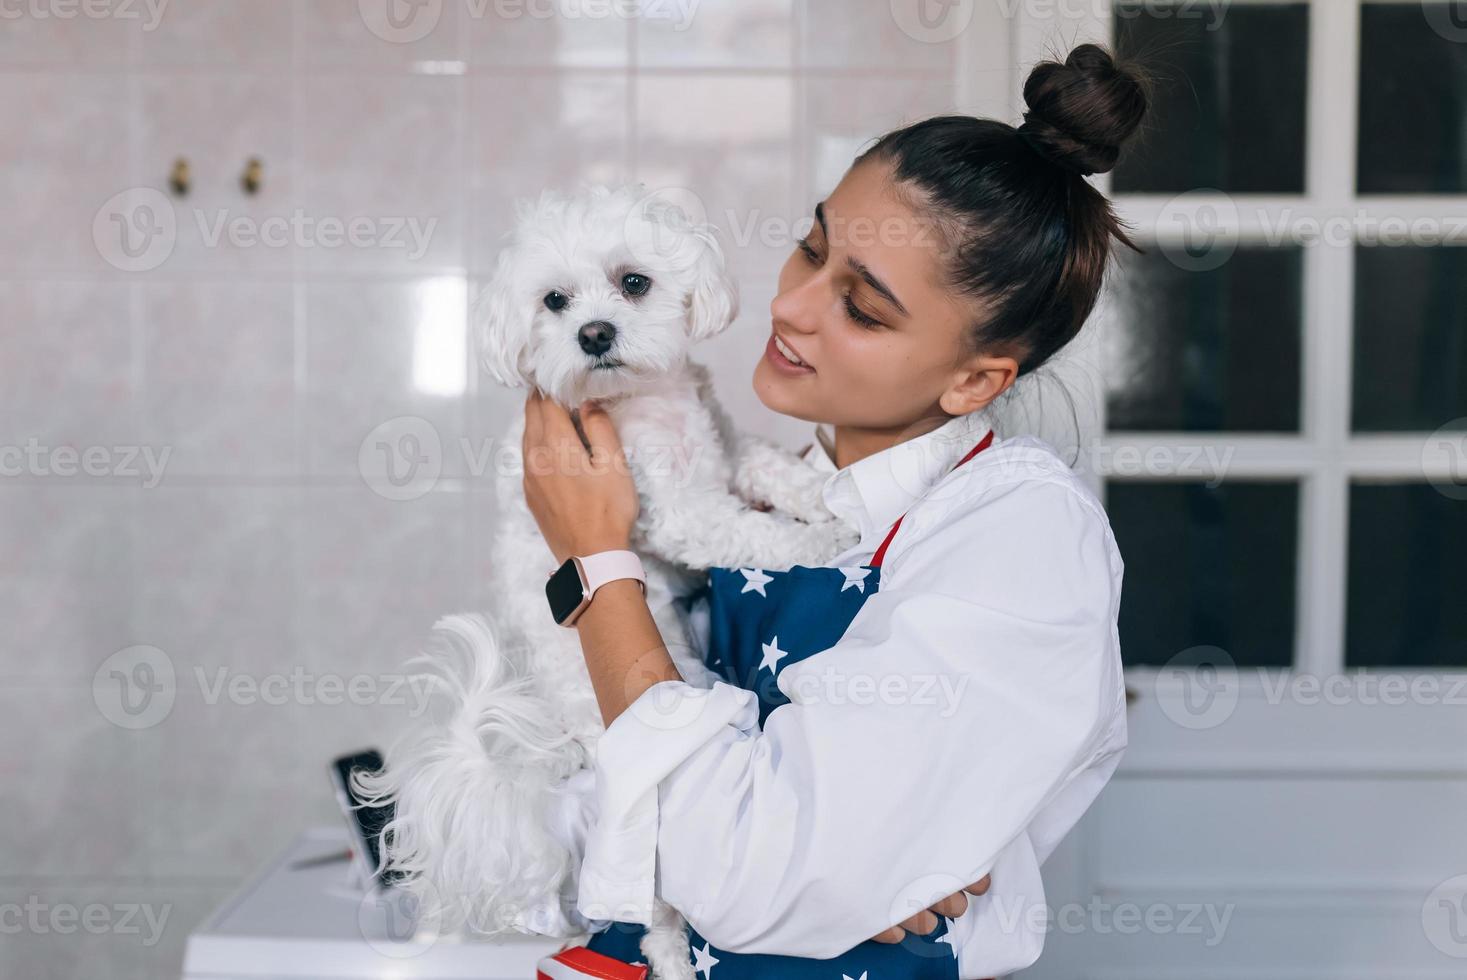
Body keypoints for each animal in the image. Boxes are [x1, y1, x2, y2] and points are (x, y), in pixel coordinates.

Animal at [357, 185, 856, 979]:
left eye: (634, 282)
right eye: (554, 301)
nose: (593, 334)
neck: (646, 401)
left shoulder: (727, 451)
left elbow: (773, 469)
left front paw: (827, 496)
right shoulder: (679, 513)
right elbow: (759, 534)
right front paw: (828, 537)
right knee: (655, 909)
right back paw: (675, 960)